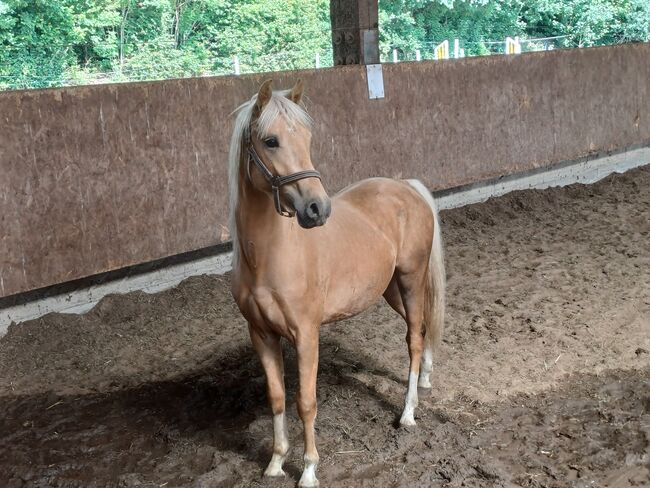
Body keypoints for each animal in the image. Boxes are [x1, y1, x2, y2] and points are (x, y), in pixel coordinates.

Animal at [228, 78, 446, 486]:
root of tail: (406, 187)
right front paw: (276, 462)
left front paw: (309, 469)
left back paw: (408, 412)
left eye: (307, 138)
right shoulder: (262, 334)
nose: (317, 209)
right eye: (270, 141)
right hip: (390, 289)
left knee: (413, 338)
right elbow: (277, 397)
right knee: (424, 328)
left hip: (410, 279)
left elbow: (306, 402)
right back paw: (425, 379)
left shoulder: (306, 334)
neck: (268, 257)